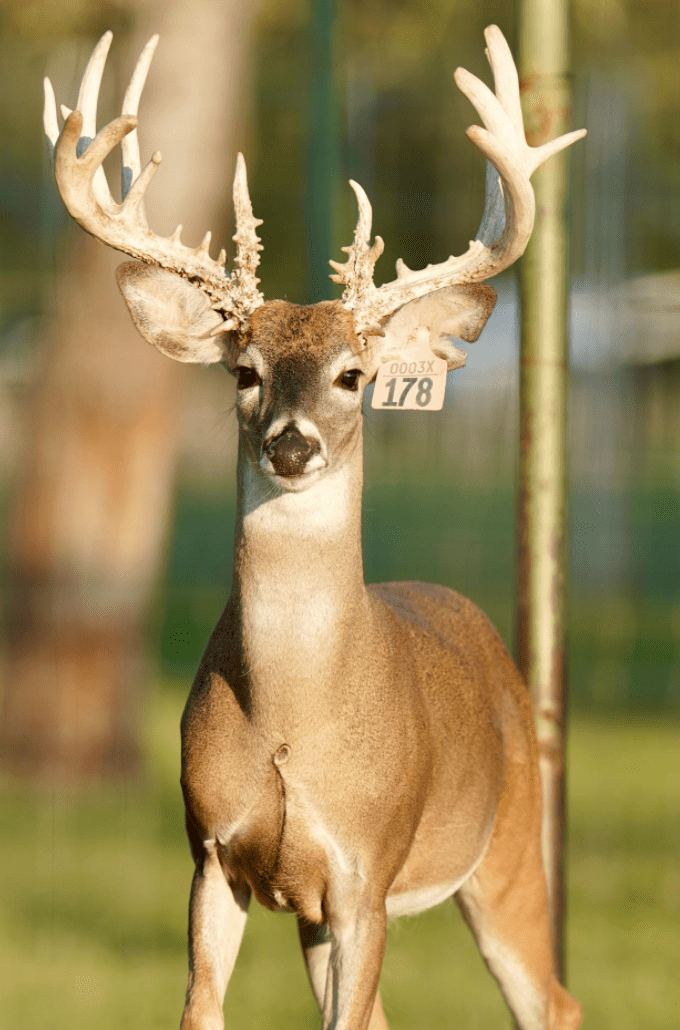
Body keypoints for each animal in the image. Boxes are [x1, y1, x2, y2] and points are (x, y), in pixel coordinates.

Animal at [44, 25, 586, 1030]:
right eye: (243, 370)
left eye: (353, 375)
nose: (291, 444)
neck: (292, 721)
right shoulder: (212, 853)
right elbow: (202, 1008)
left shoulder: (365, 868)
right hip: (318, 917)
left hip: (511, 843)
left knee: (552, 1000)